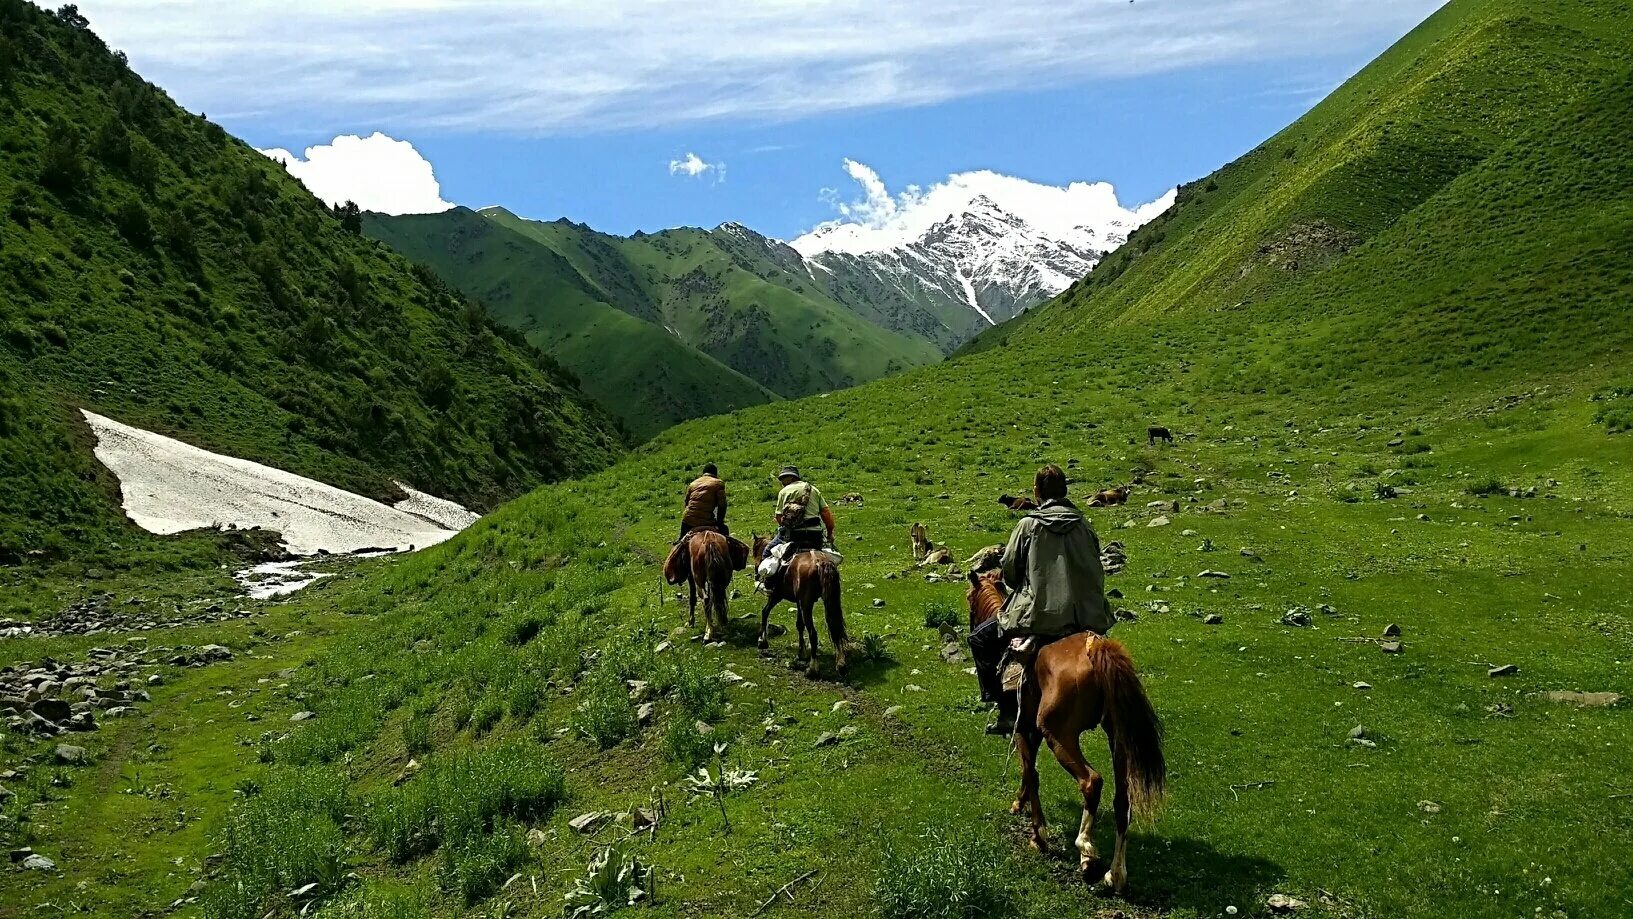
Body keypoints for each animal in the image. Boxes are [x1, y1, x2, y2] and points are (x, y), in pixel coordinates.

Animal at [754, 532, 855, 675]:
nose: (756, 573)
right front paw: (801, 652)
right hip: (827, 600)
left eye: (754, 550)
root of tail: (820, 562)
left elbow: (765, 612)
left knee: (813, 633)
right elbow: (799, 625)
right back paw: (841, 664)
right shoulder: (798, 601)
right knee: (835, 627)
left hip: (806, 604)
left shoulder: (777, 596)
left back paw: (812, 668)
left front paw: (762, 641)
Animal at [966, 568, 1162, 894]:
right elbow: (1027, 771)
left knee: (1091, 781)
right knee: (1122, 800)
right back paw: (1115, 874)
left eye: (969, 600)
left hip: (1060, 736)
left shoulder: (1022, 727)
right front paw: (1019, 804)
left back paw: (1086, 852)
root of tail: (1097, 650)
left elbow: (1030, 772)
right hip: (1116, 736)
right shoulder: (1030, 730)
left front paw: (1038, 835)